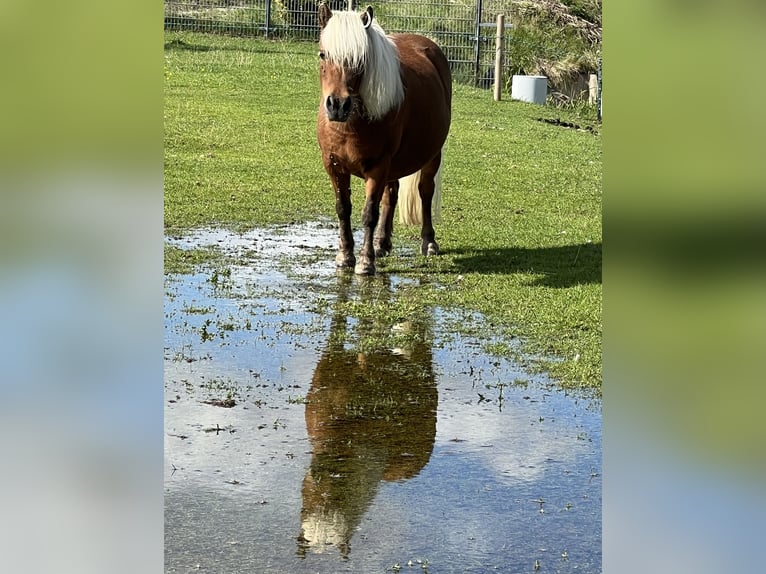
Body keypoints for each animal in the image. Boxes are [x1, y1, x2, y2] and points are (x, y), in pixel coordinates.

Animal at [316, 3, 452, 274]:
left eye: (360, 60)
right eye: (323, 55)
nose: (337, 105)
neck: (350, 127)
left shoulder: (377, 167)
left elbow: (369, 213)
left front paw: (366, 262)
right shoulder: (334, 165)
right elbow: (343, 209)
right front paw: (345, 256)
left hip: (431, 156)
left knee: (425, 192)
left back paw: (428, 242)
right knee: (392, 194)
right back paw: (382, 243)